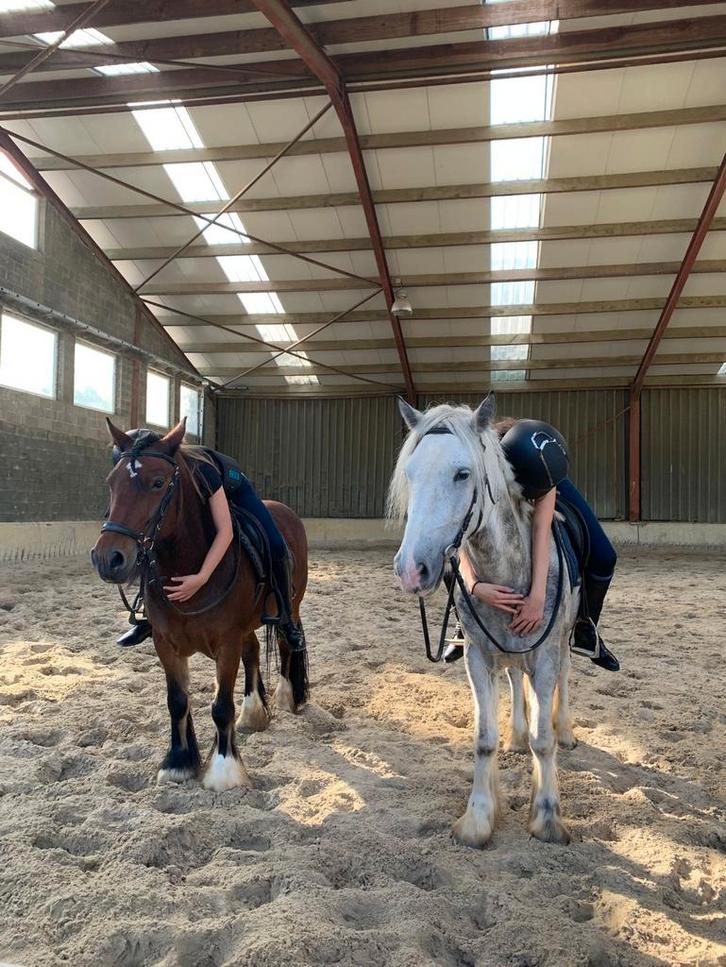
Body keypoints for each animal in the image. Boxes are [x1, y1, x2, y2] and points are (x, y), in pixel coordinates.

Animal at [91, 419, 309, 792]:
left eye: (158, 482)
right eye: (111, 482)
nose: (109, 558)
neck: (187, 565)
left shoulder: (226, 643)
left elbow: (220, 707)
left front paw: (223, 770)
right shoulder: (165, 643)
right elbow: (177, 701)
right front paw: (178, 763)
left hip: (289, 608)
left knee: (286, 641)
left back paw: (286, 696)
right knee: (253, 651)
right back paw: (253, 712)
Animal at [388, 394, 578, 846]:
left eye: (463, 473)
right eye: (410, 473)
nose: (411, 569)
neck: (508, 569)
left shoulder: (545, 656)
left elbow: (544, 742)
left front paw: (547, 817)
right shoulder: (478, 658)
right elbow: (483, 738)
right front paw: (477, 818)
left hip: (562, 643)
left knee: (564, 680)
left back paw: (565, 731)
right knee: (515, 679)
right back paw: (517, 735)